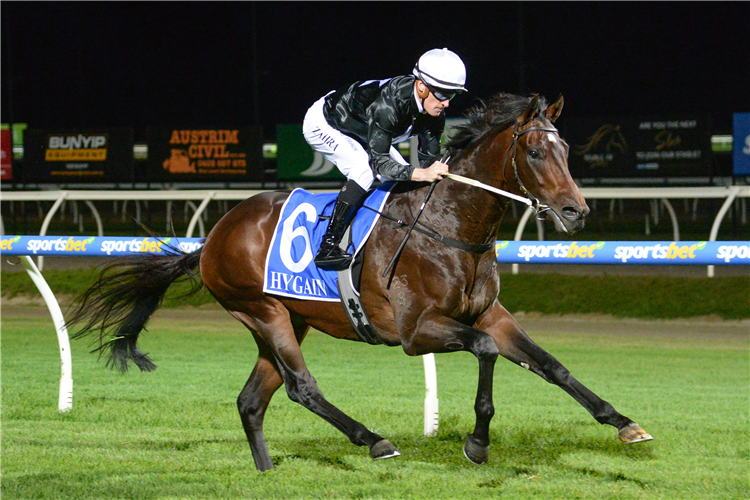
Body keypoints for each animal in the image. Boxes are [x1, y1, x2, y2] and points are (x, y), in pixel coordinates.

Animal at [70, 92, 652, 470]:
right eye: (534, 152)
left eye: (567, 151)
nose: (576, 213)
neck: (450, 225)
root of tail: (212, 238)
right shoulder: (418, 331)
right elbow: (485, 351)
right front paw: (478, 441)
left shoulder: (489, 313)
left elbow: (550, 364)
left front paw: (624, 422)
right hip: (263, 311)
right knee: (302, 388)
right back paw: (372, 440)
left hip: (288, 319)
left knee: (252, 400)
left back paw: (268, 472)